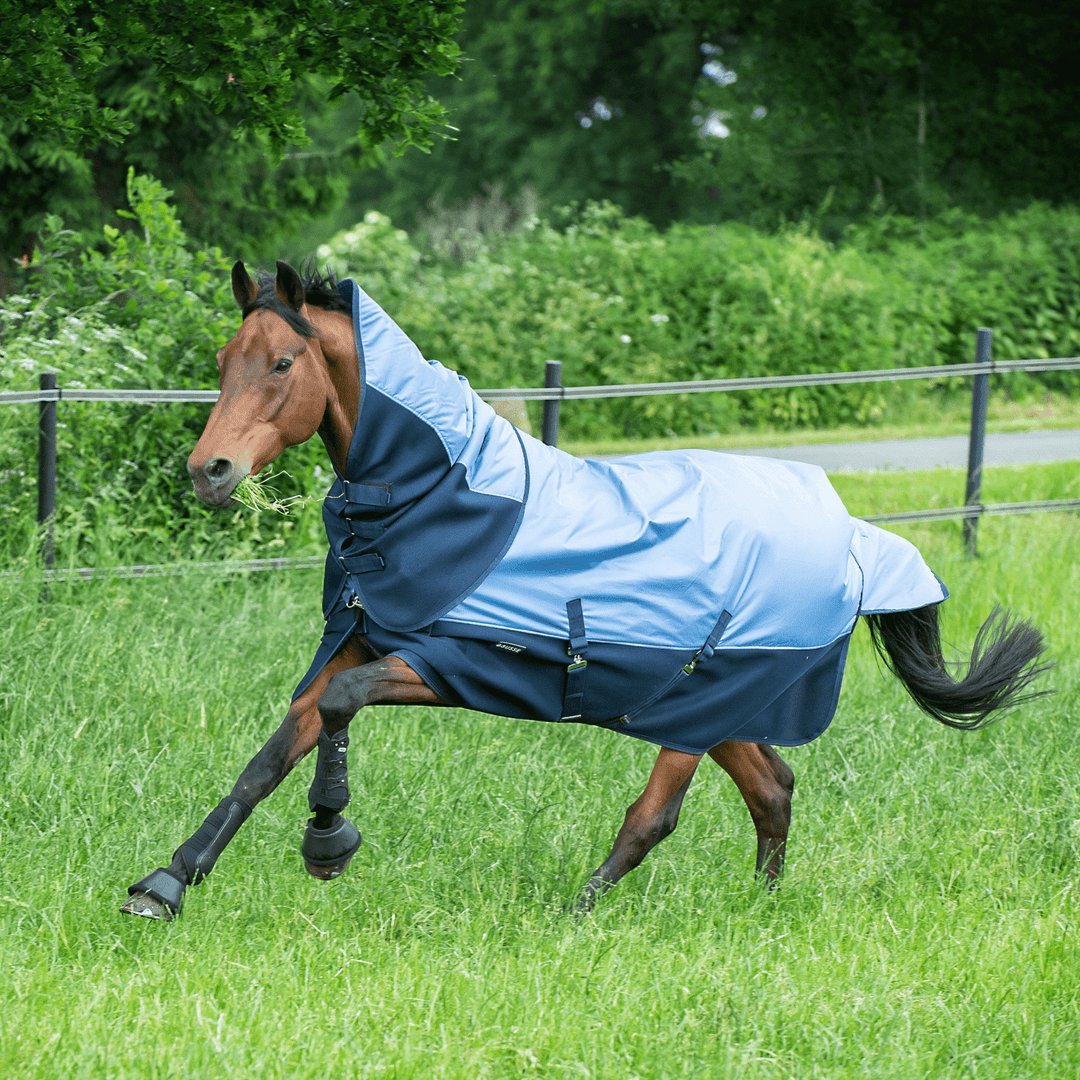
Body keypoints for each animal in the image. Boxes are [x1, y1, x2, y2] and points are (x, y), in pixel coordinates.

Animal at [121, 261, 1050, 921]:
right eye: (221, 362)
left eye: (282, 362)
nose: (210, 471)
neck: (446, 494)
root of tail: (858, 540)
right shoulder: (360, 641)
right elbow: (275, 753)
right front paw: (167, 883)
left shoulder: (454, 664)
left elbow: (339, 713)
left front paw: (329, 844)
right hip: (708, 707)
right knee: (773, 788)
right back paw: (759, 909)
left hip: (699, 708)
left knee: (656, 816)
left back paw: (577, 915)